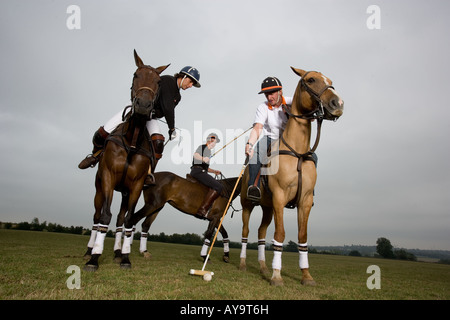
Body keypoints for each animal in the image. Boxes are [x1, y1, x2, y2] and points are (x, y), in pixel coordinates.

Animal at [83, 51, 170, 272]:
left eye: (158, 81)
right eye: (135, 75)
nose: (143, 106)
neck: (132, 141)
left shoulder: (136, 185)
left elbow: (129, 219)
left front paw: (124, 257)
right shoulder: (108, 176)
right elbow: (105, 216)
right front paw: (94, 259)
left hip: (124, 192)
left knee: (121, 219)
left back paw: (116, 252)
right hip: (99, 187)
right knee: (96, 216)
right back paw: (89, 250)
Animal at [239, 67, 344, 284]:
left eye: (330, 81)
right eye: (310, 80)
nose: (337, 104)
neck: (298, 152)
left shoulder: (305, 200)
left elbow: (302, 237)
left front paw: (306, 276)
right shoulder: (280, 196)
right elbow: (279, 234)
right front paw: (277, 275)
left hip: (267, 207)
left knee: (261, 232)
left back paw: (263, 267)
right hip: (248, 204)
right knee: (246, 231)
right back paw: (243, 264)